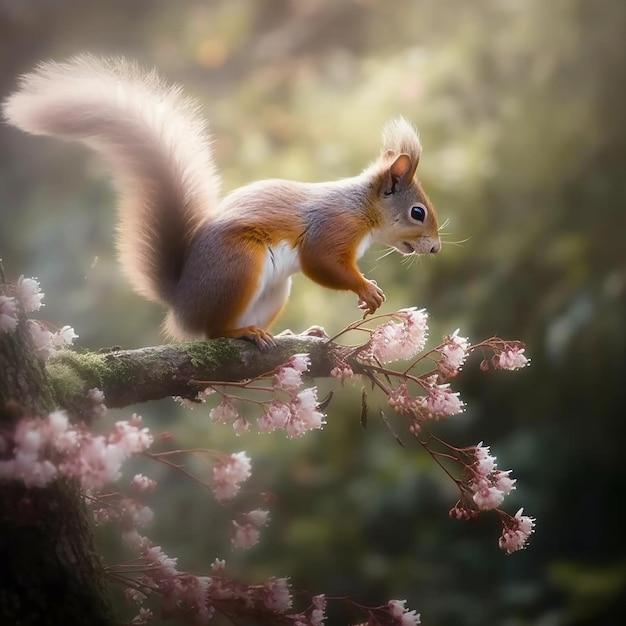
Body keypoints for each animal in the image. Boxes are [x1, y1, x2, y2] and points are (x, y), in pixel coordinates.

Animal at [3, 54, 438, 346]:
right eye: (417, 212)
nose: (435, 248)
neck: (361, 207)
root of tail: (183, 303)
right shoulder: (331, 226)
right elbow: (321, 262)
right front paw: (366, 288)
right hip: (239, 264)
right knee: (213, 332)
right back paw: (243, 332)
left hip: (275, 289)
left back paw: (289, 332)